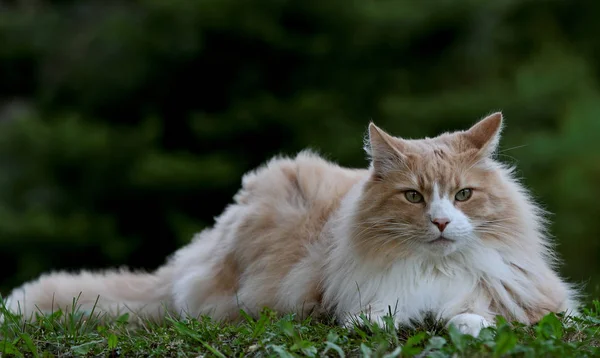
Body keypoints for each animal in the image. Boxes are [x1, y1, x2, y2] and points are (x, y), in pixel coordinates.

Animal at [2, 113, 580, 338]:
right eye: (414, 197)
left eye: (463, 195)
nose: (440, 222)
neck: (432, 271)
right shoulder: (348, 294)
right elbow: (373, 316)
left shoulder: (535, 301)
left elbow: (472, 316)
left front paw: (463, 321)